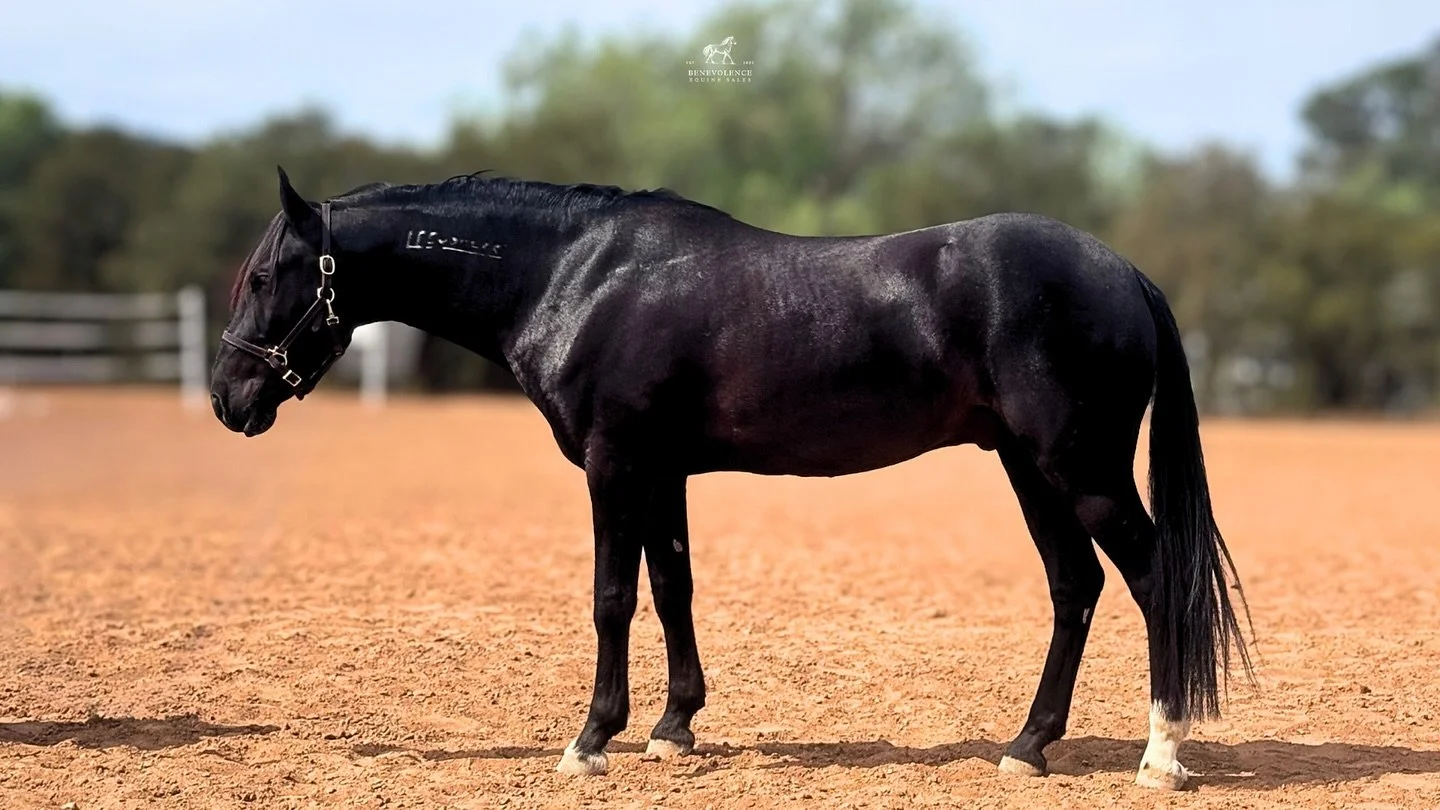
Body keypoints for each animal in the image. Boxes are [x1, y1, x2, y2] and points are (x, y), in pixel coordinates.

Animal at [211, 167, 1253, 790]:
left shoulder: (615, 465)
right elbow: (673, 586)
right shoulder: (661, 470)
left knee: (1153, 579)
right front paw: (674, 727)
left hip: (1080, 468)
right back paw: (1027, 748)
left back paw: (1162, 757)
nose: (228, 396)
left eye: (264, 276)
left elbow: (612, 597)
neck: (576, 275)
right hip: (1030, 469)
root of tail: (1122, 271)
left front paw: (590, 742)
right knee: (1075, 587)